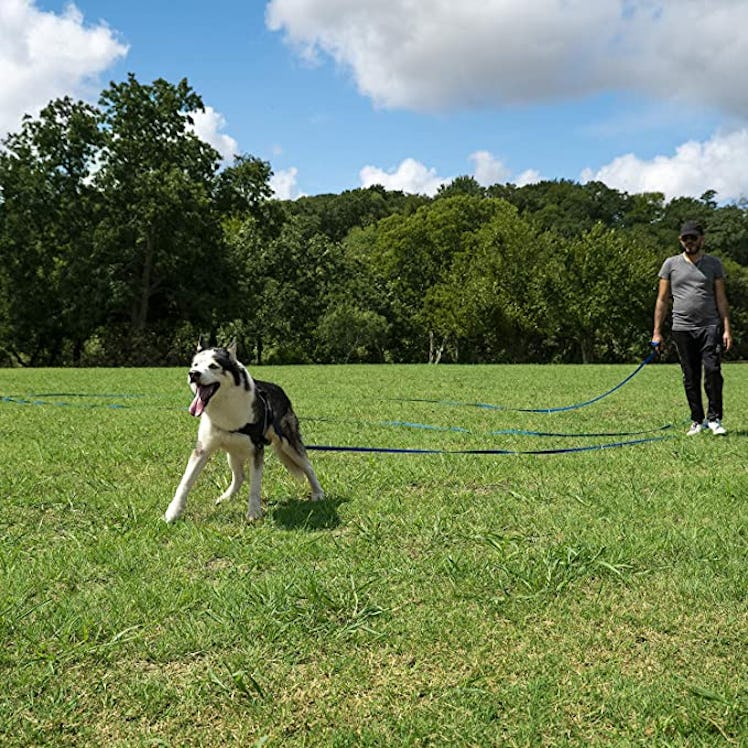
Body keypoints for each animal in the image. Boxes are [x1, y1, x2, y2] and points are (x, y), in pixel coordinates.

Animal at [165, 342, 322, 524]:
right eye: (195, 365)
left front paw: (253, 512)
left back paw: (319, 493)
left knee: (308, 467)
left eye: (213, 366)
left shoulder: (257, 450)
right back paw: (226, 497)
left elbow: (254, 486)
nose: (193, 374)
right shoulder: (202, 449)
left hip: (289, 444)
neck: (225, 407)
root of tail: (280, 390)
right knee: (239, 477)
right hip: (232, 452)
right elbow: (185, 482)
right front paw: (172, 512)